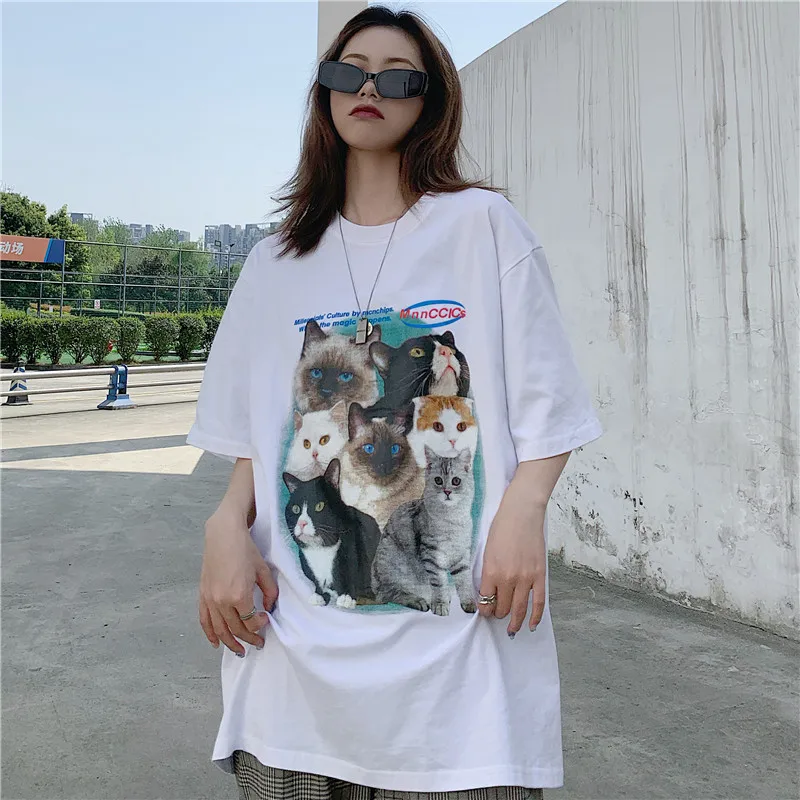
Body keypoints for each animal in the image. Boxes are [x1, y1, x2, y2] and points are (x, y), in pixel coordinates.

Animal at [283, 458, 381, 609]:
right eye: (295, 509)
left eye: (319, 506)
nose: (302, 523)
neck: (320, 549)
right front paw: (319, 595)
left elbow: (352, 573)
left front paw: (346, 597)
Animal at [372, 446, 476, 616]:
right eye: (438, 480)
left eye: (456, 481)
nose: (447, 491)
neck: (452, 520)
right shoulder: (432, 554)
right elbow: (439, 583)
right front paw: (440, 605)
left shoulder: (461, 555)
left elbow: (464, 582)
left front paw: (469, 603)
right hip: (393, 565)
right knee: (392, 594)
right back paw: (419, 601)